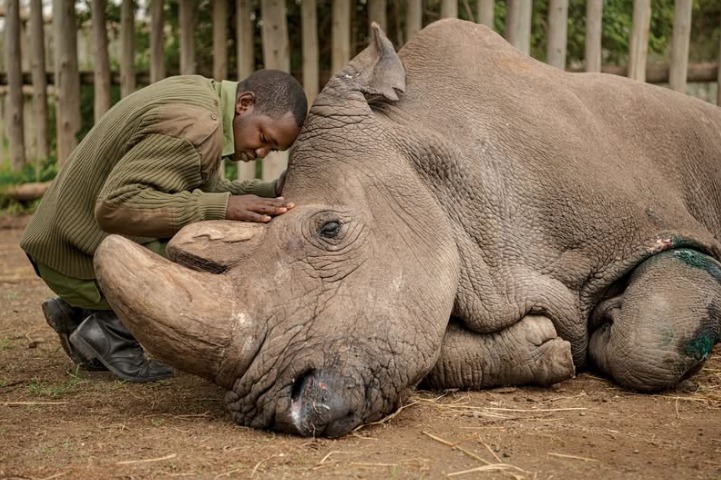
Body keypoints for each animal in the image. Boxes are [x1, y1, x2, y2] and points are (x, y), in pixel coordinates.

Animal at [93, 19, 721, 437]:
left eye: (330, 231)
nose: (274, 410)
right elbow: (428, 344)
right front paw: (548, 346)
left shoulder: (647, 228)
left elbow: (649, 338)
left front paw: (609, 322)